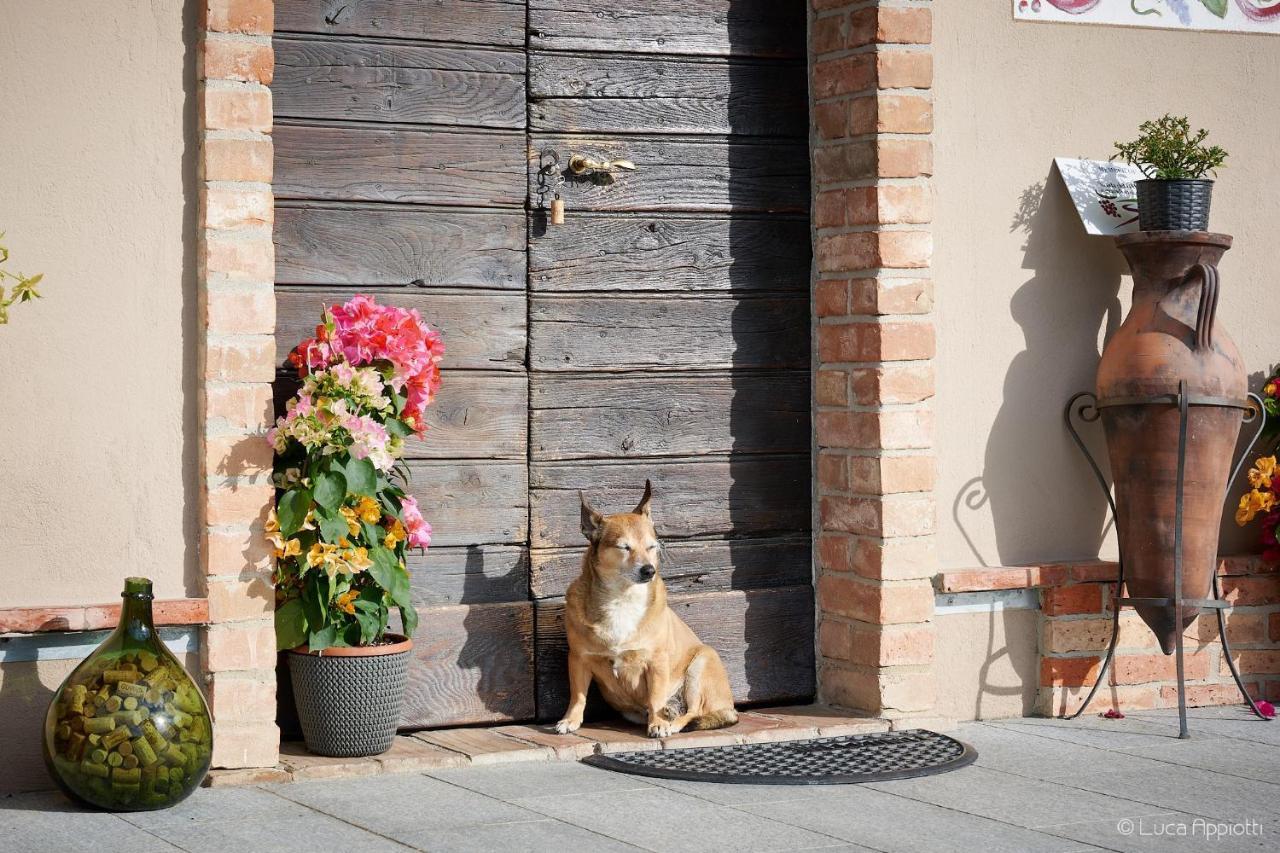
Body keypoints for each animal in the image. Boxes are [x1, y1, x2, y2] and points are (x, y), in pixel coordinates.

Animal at [552, 481, 742, 732]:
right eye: (624, 547)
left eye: (652, 547)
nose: (649, 570)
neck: (622, 597)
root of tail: (729, 707)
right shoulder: (578, 660)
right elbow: (578, 696)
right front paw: (571, 720)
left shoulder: (657, 662)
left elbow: (655, 696)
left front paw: (658, 724)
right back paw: (669, 712)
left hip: (700, 664)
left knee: (692, 712)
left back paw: (671, 722)